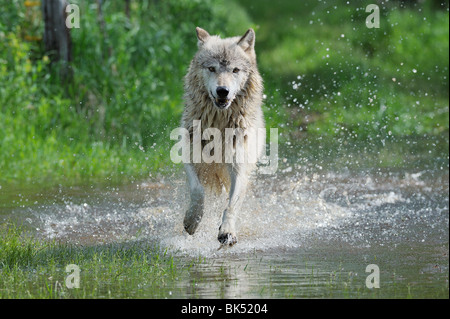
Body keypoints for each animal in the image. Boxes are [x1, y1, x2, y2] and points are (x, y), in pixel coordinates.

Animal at [181, 28, 266, 248]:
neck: (218, 125)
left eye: (235, 70)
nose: (222, 91)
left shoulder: (239, 168)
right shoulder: (189, 158)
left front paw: (227, 232)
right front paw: (192, 220)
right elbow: (198, 191)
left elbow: (231, 205)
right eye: (212, 68)